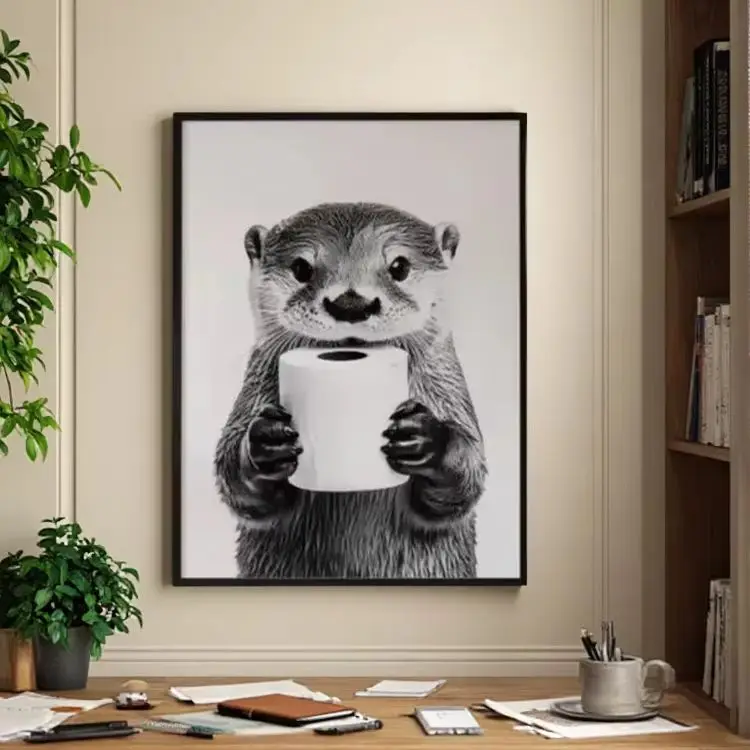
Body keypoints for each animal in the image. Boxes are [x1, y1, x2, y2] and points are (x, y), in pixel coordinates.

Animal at [213, 202, 487, 580]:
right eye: (301, 267)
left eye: (399, 266)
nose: (351, 304)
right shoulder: (253, 391)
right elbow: (232, 476)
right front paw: (265, 444)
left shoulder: (450, 389)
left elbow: (469, 473)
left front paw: (426, 438)